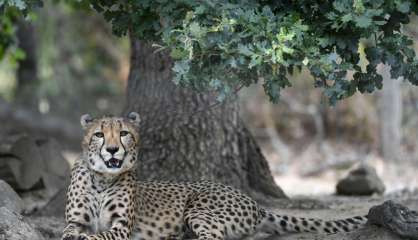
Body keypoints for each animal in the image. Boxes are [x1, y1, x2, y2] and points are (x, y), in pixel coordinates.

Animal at [61, 113, 366, 240]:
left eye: (124, 133)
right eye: (99, 134)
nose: (113, 149)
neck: (102, 179)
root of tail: (253, 202)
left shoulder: (122, 227)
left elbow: (101, 236)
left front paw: (87, 239)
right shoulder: (74, 222)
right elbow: (70, 233)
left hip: (198, 208)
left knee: (213, 236)